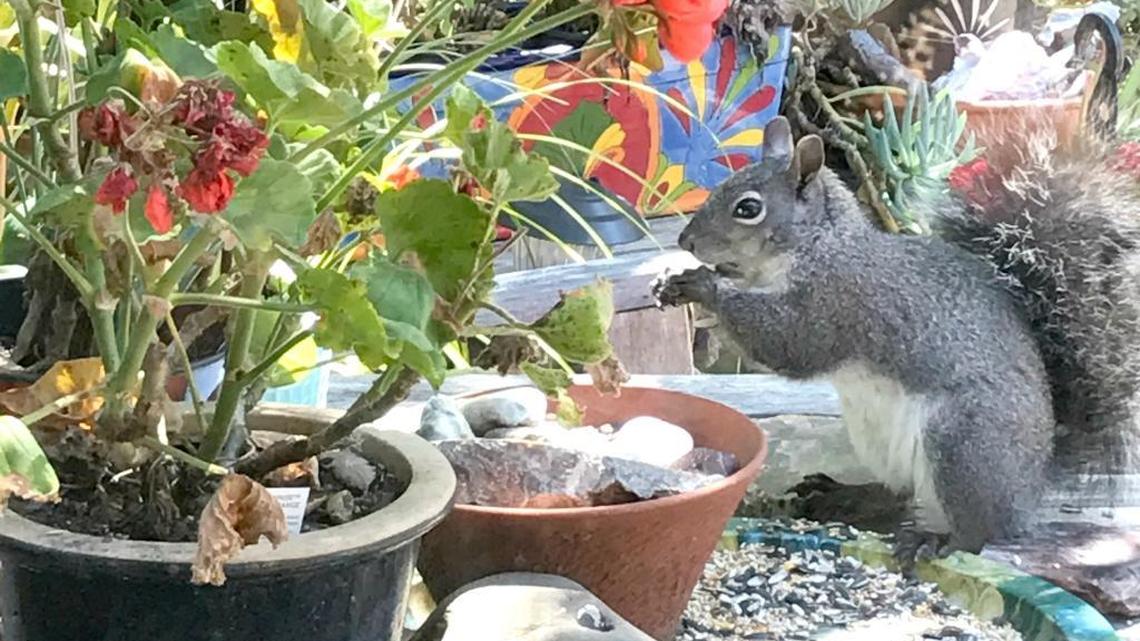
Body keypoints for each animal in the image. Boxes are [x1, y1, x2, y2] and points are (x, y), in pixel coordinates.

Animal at [652, 112, 1140, 564]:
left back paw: (934, 539)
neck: (819, 246)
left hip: (962, 444)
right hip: (880, 439)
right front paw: (674, 286)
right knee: (900, 492)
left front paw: (705, 289)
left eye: (748, 209)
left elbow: (790, 344)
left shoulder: (835, 302)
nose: (685, 240)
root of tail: (1031, 488)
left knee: (976, 533)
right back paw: (844, 496)